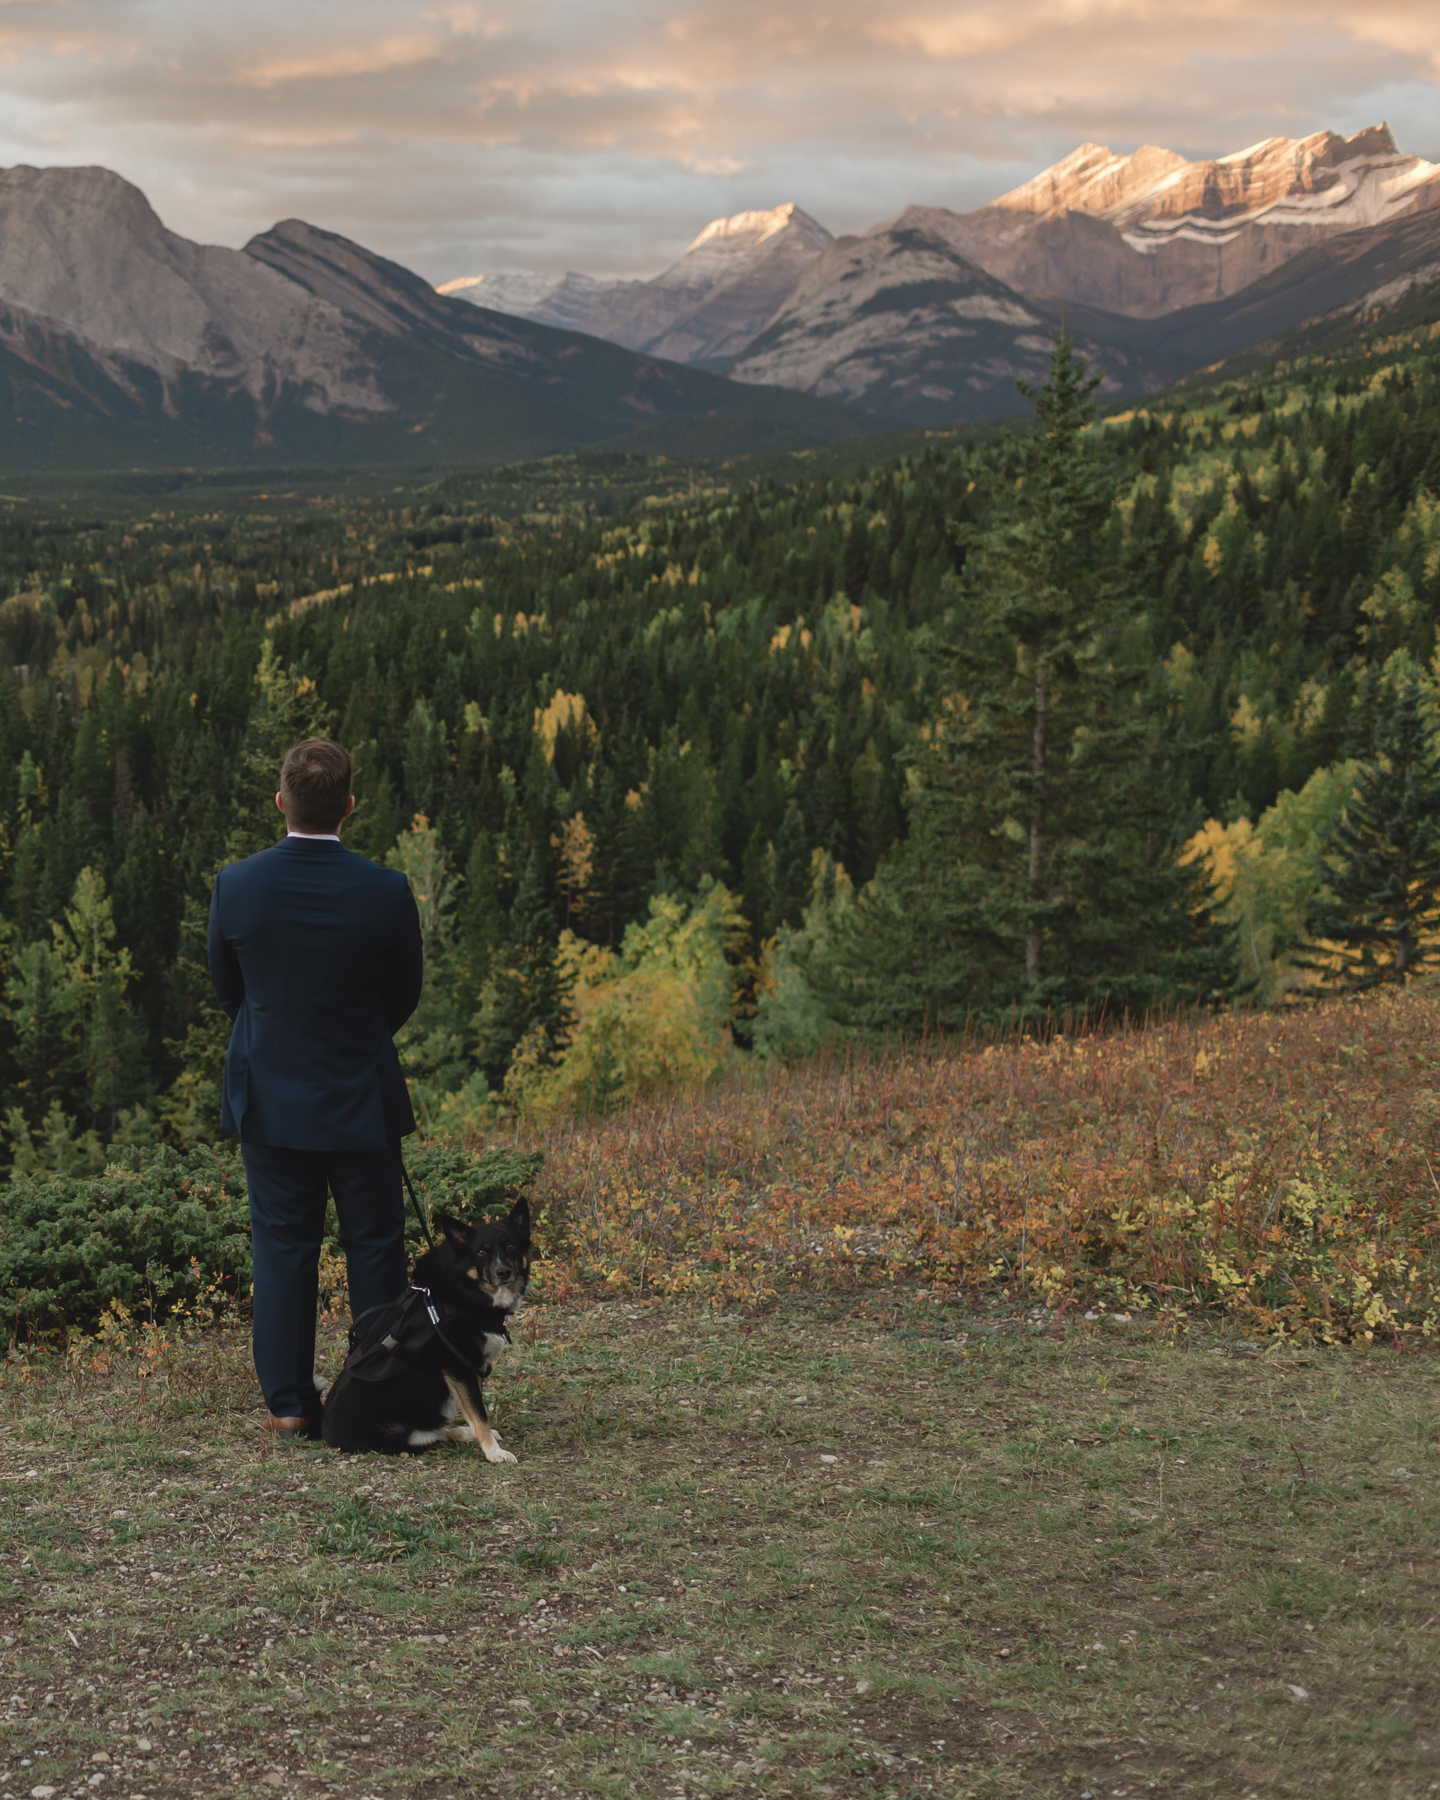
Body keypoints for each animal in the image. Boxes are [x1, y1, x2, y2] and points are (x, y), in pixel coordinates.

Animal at [320, 1195, 532, 1461]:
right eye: (482, 1251)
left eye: (511, 1246)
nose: (503, 1272)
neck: (465, 1289)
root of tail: (325, 1433)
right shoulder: (459, 1368)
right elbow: (479, 1414)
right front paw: (494, 1453)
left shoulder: (473, 1366)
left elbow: (475, 1411)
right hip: (409, 1435)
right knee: (433, 1434)